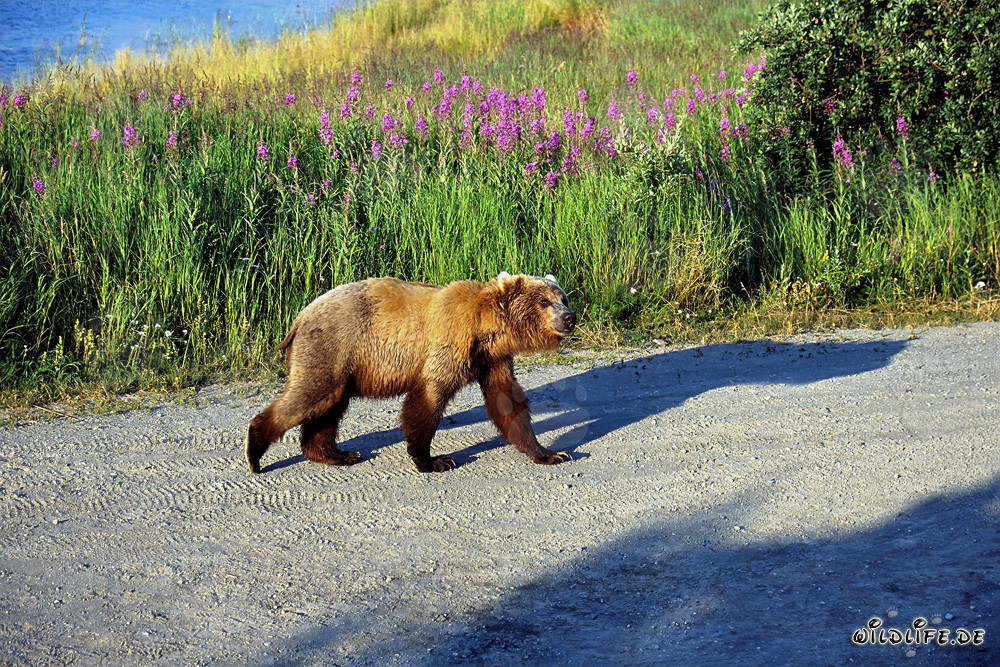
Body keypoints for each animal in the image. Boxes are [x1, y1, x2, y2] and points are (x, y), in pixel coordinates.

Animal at [245, 272, 576, 473]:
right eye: (544, 301)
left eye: (563, 297)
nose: (569, 317)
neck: (486, 326)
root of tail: (300, 316)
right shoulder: (450, 343)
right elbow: (427, 399)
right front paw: (434, 460)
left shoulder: (492, 359)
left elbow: (506, 401)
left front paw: (550, 453)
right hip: (332, 345)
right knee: (309, 394)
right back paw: (254, 452)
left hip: (341, 364)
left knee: (329, 406)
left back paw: (336, 454)